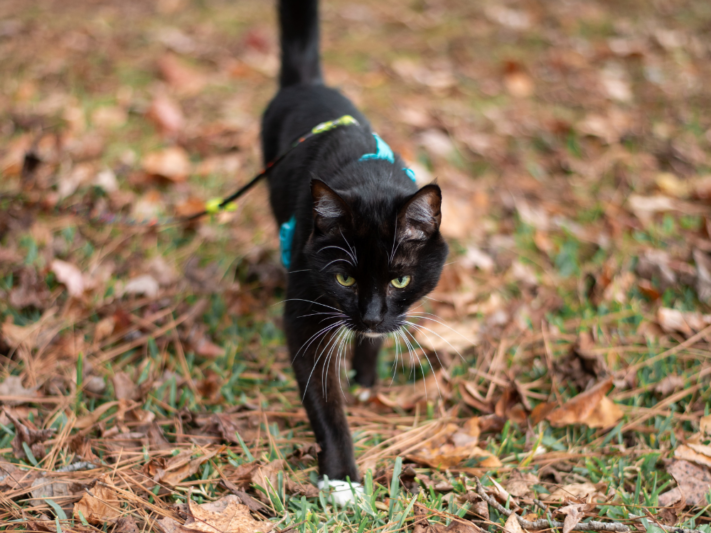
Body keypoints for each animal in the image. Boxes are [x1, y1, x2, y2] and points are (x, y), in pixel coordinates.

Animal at [264, 0, 448, 498]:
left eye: (400, 278)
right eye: (344, 277)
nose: (369, 317)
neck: (370, 180)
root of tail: (308, 84)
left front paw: (365, 375)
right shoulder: (304, 316)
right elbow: (325, 404)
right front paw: (342, 479)